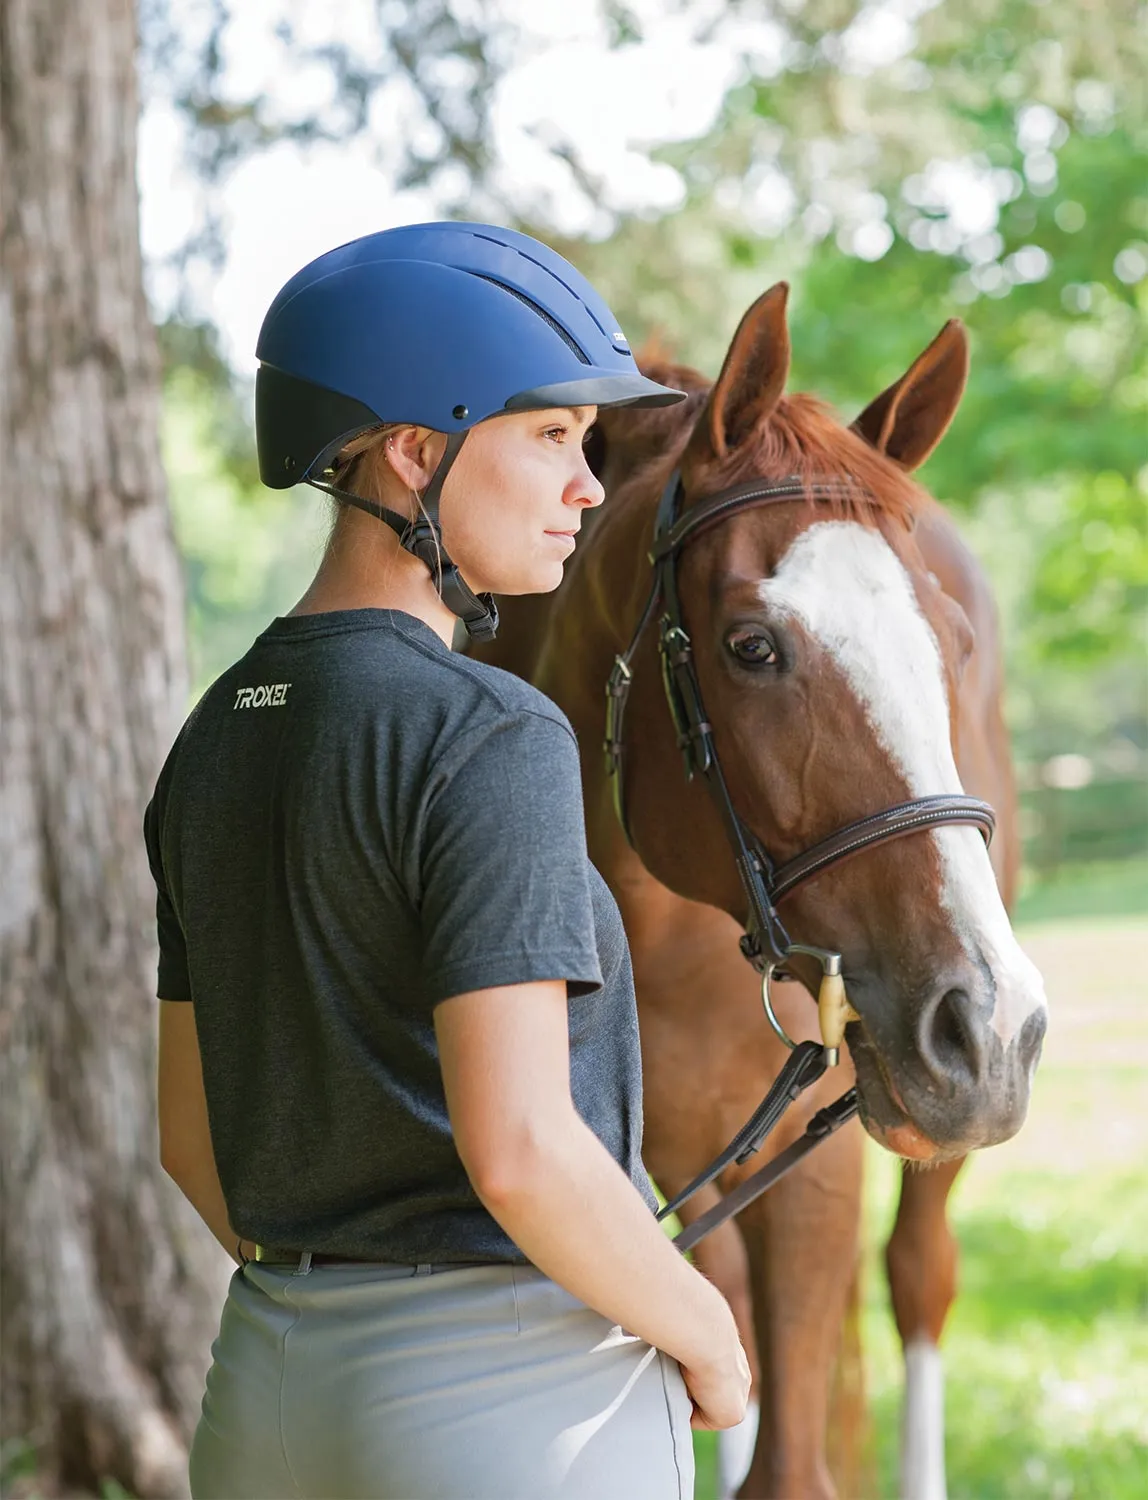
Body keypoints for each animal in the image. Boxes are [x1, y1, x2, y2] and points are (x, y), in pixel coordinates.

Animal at [471, 283, 1044, 1500]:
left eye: (953, 646)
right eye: (750, 647)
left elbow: (791, 1456)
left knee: (918, 1271)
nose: (987, 1026)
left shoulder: (813, 1182)